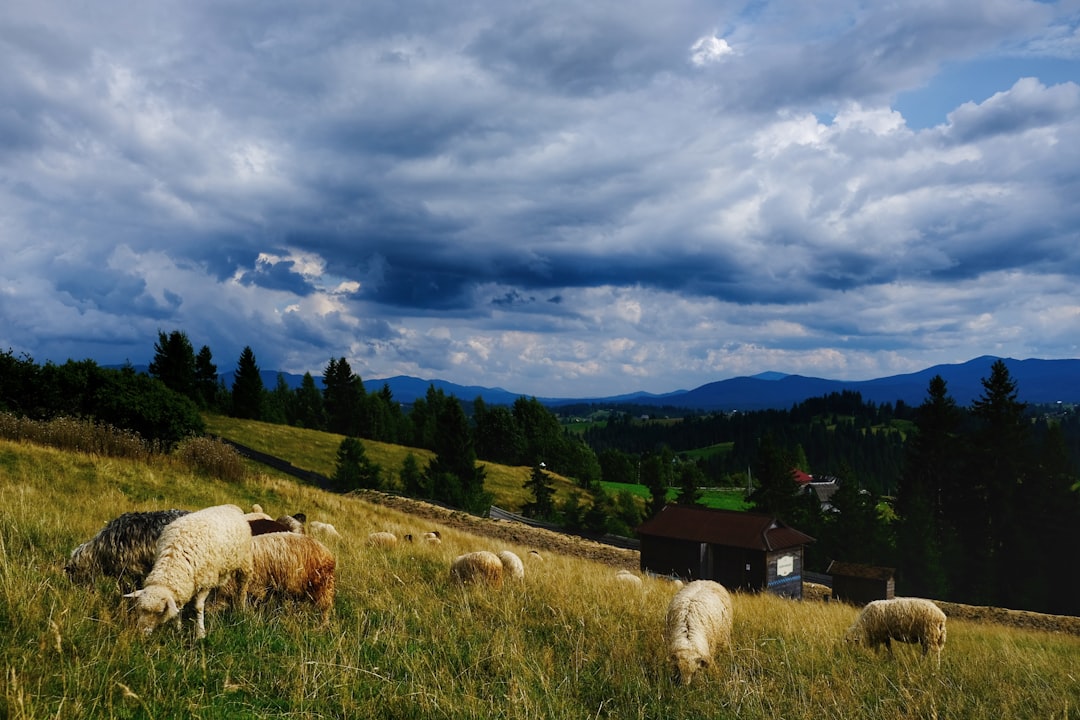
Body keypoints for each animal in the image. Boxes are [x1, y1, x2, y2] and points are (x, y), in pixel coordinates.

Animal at [123, 505, 252, 639]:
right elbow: (178, 608)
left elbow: (198, 607)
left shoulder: (205, 582)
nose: (142, 633)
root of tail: (232, 506)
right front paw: (178, 629)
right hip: (222, 570)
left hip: (244, 561)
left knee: (243, 585)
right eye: (141, 609)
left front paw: (200, 633)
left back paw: (241, 608)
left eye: (159, 612)